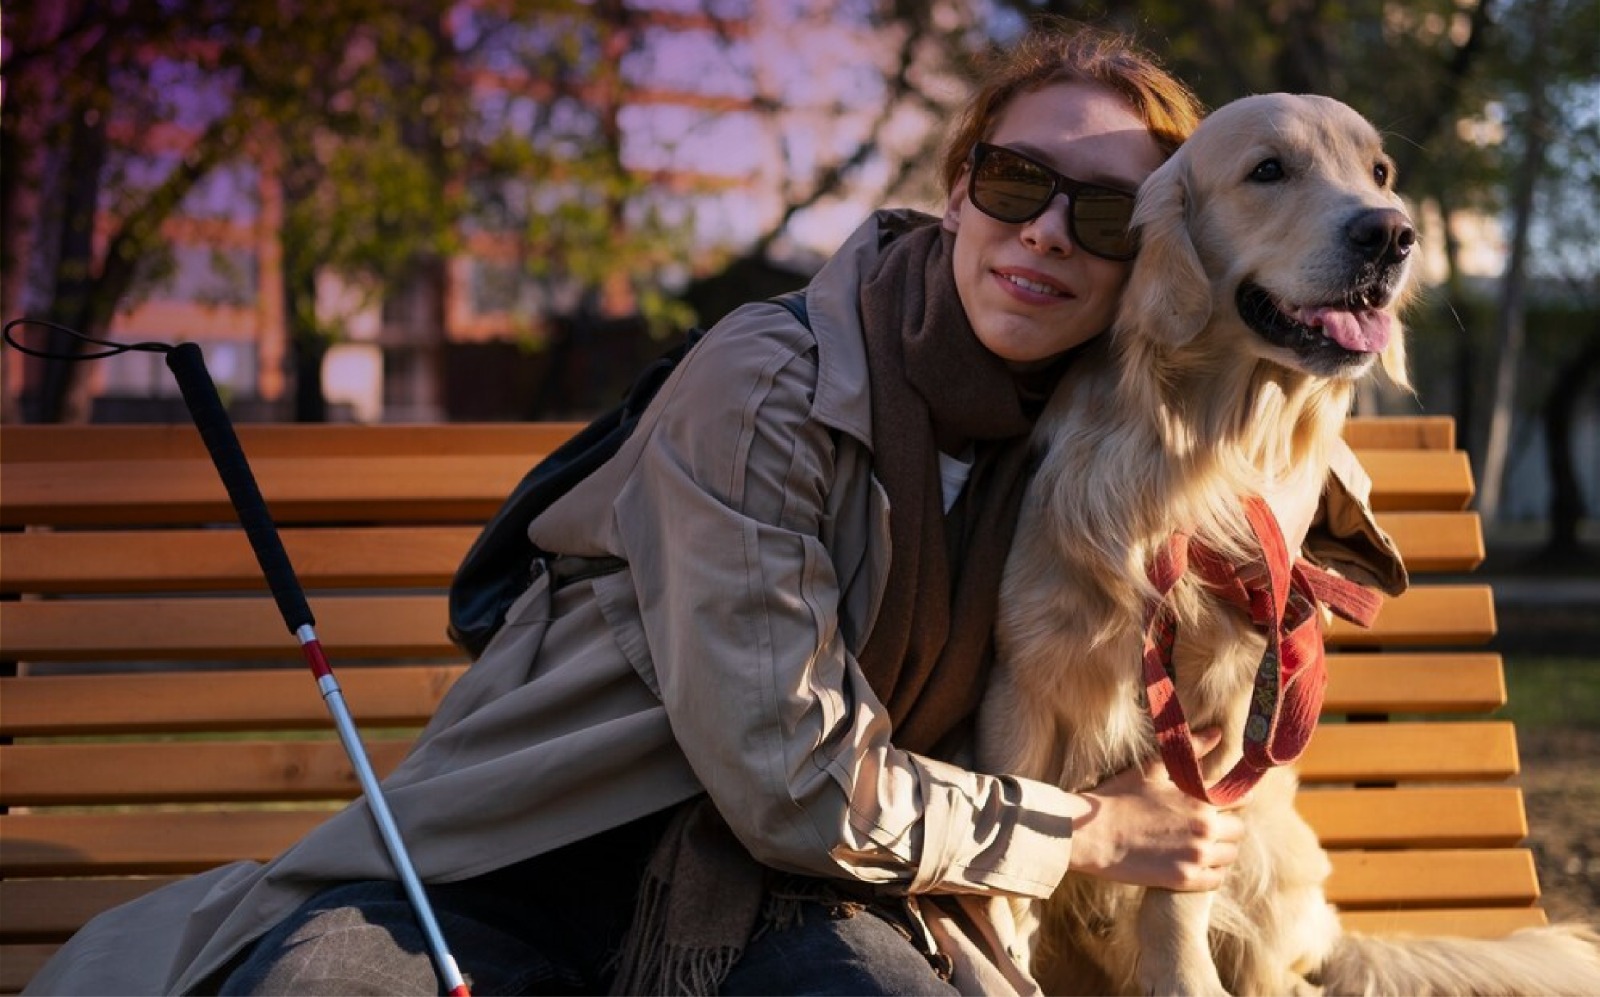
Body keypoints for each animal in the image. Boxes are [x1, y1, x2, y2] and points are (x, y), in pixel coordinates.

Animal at [972, 89, 1600, 992]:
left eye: (1380, 172)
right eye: (1268, 170)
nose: (1392, 234)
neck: (1203, 458)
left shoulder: (1224, 722)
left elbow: (1175, 894)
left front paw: (1183, 978)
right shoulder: (1021, 686)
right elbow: (1008, 882)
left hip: (1274, 852)